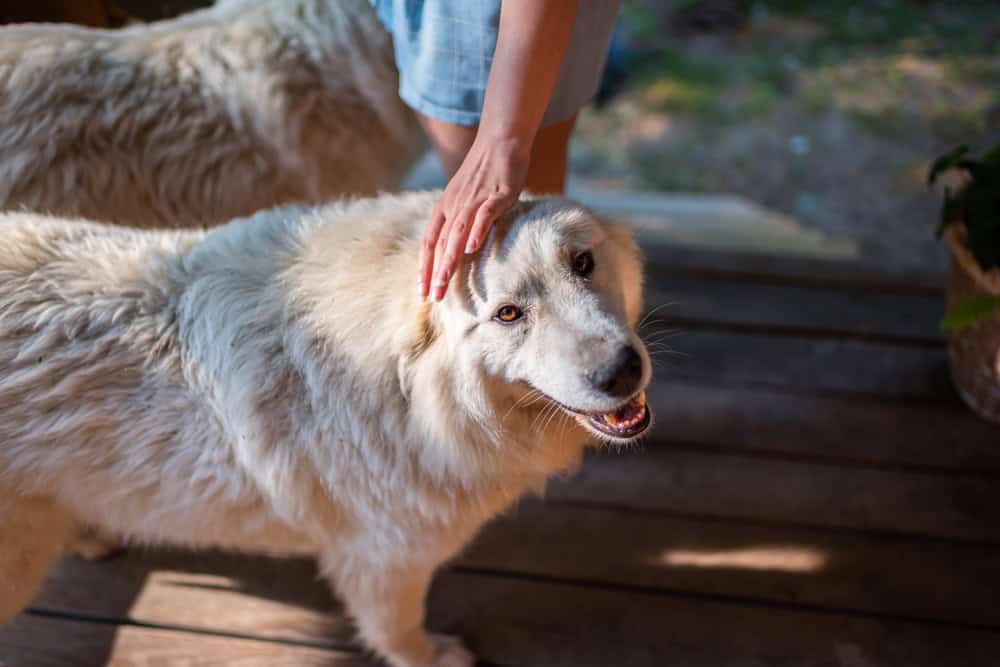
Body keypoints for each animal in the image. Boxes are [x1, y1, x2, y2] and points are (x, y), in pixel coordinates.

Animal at [0, 190, 652, 664]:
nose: (621, 371)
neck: (408, 392)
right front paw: (433, 657)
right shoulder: (386, 561)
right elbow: (399, 632)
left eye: (583, 263)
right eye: (509, 314)